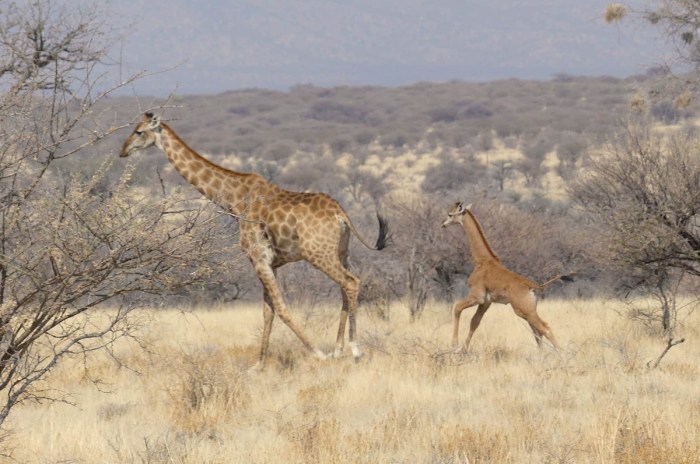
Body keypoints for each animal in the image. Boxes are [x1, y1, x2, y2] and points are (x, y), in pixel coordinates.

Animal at [120, 112, 388, 369]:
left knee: (351, 282)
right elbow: (267, 312)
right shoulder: (271, 263)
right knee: (345, 286)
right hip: (341, 252)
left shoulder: (258, 258)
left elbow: (280, 308)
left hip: (318, 254)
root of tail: (341, 214)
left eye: (139, 132)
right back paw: (338, 349)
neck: (234, 200)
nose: (123, 151)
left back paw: (354, 350)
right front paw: (259, 365)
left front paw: (318, 355)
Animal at [441, 202, 566, 353]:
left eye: (450, 214)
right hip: (529, 310)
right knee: (537, 331)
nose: (443, 224)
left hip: (522, 310)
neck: (482, 261)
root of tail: (533, 286)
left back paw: (562, 354)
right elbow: (474, 322)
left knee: (545, 328)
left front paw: (454, 345)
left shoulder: (477, 296)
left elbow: (457, 307)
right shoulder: (486, 302)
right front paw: (463, 350)